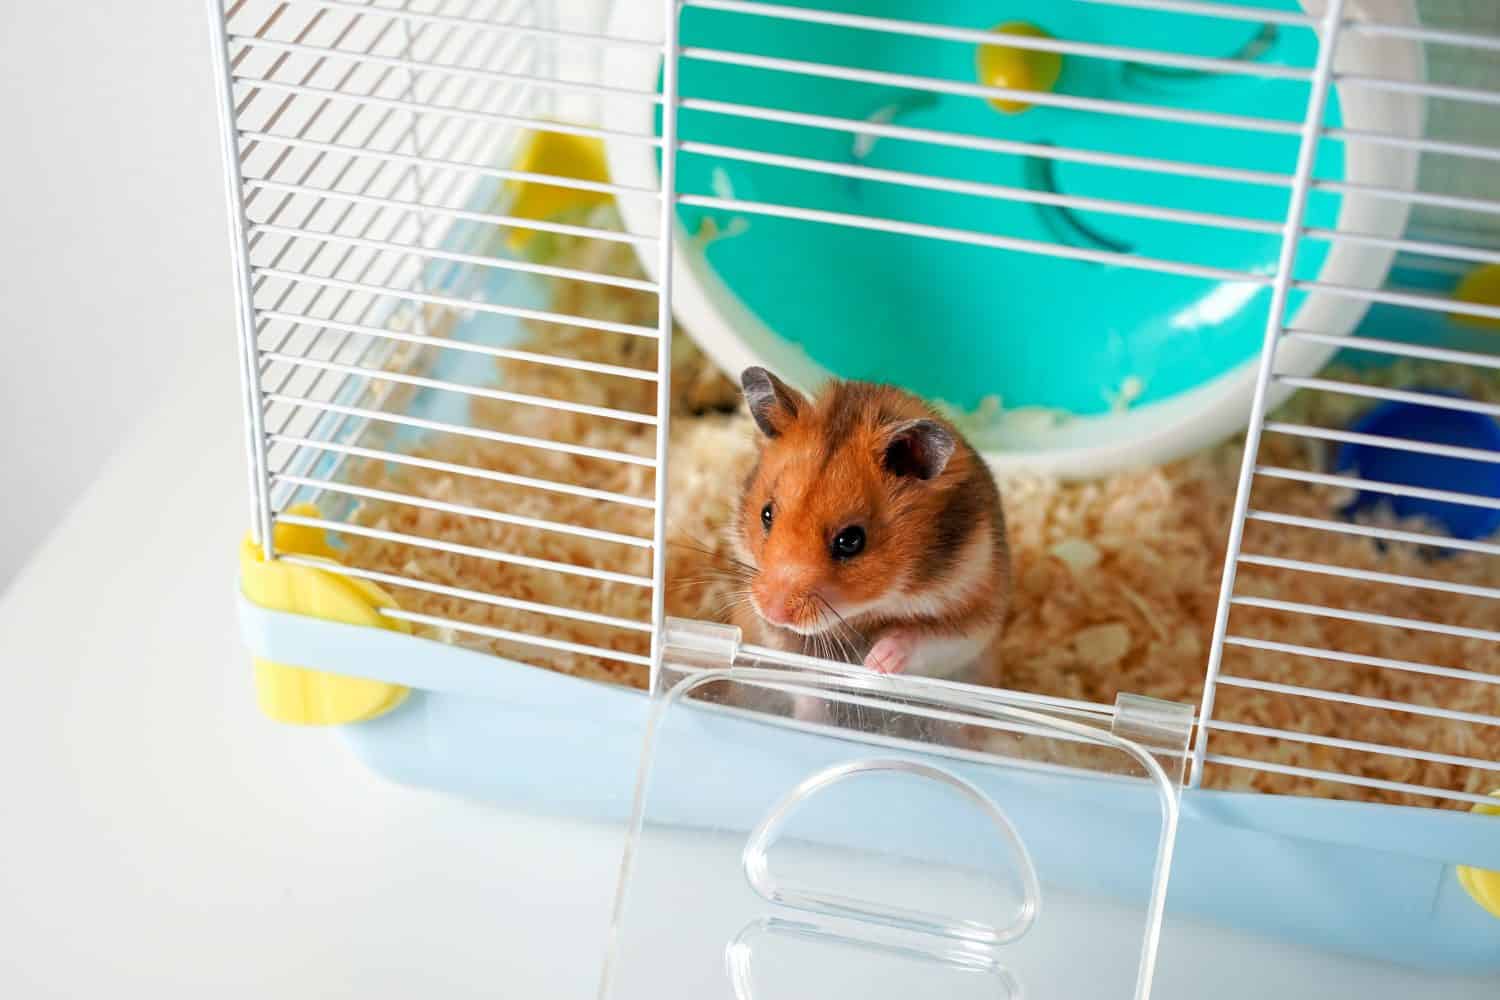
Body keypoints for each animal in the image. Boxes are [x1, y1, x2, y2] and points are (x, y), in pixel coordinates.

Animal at [730, 367, 1010, 687]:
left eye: (851, 541)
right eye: (766, 514)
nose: (771, 613)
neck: (876, 604)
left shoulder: (972, 619)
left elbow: (918, 637)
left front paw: (874, 665)